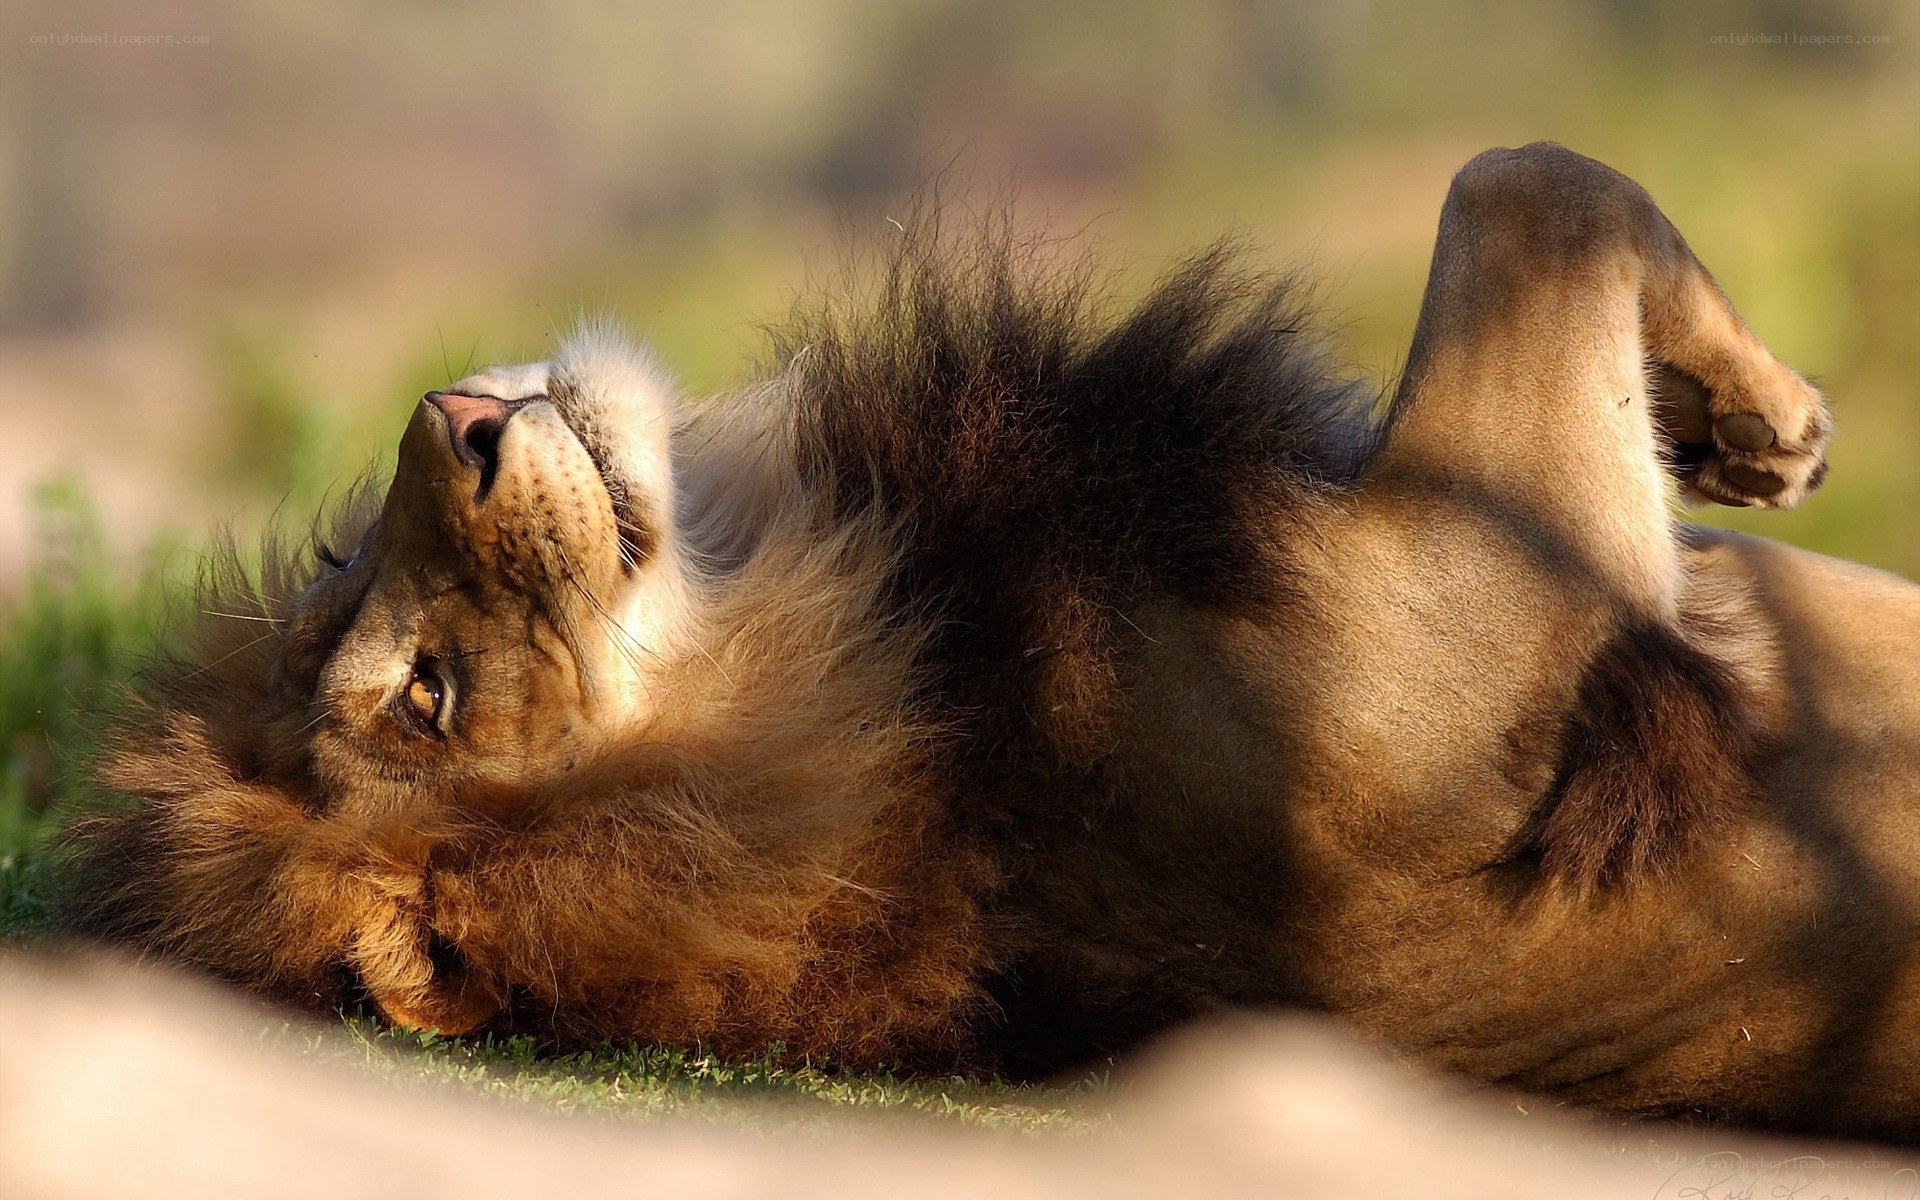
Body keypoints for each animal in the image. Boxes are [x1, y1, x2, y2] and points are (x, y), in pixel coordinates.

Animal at [60, 142, 1920, 1137]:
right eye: (426, 700)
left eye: (337, 571)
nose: (452, 414)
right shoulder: (1525, 581)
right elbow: (1533, 188)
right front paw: (1769, 421)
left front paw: (1741, 434)